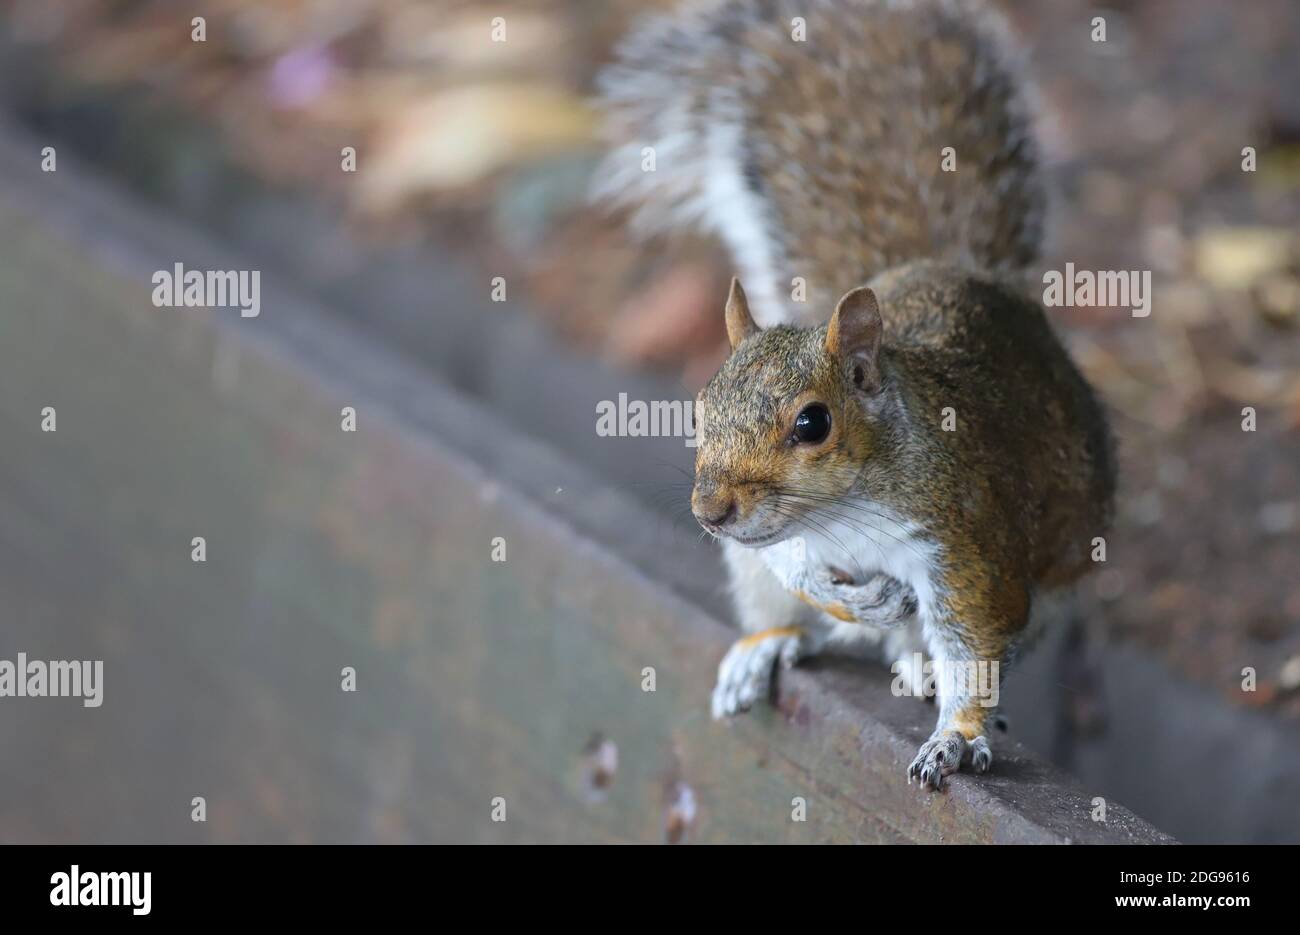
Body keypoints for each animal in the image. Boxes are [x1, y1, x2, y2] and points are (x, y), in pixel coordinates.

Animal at [595, 0, 1112, 790]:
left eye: (813, 423)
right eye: (701, 408)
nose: (710, 512)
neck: (842, 511)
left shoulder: (963, 537)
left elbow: (974, 641)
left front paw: (957, 734)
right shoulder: (776, 543)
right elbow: (794, 563)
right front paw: (848, 593)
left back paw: (915, 664)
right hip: (748, 574)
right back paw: (771, 643)